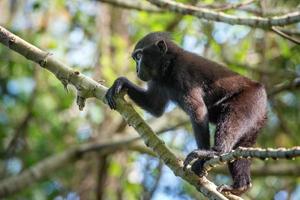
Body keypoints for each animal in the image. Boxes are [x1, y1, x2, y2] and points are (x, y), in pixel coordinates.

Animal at [105, 32, 268, 195]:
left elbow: (198, 110)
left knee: (231, 122)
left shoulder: (182, 74)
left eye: (139, 56)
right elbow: (155, 107)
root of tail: (260, 90)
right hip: (255, 120)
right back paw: (240, 186)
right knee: (242, 148)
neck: (169, 65)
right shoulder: (157, 81)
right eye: (135, 58)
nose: (136, 70)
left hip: (249, 101)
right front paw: (121, 83)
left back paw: (217, 152)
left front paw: (201, 159)